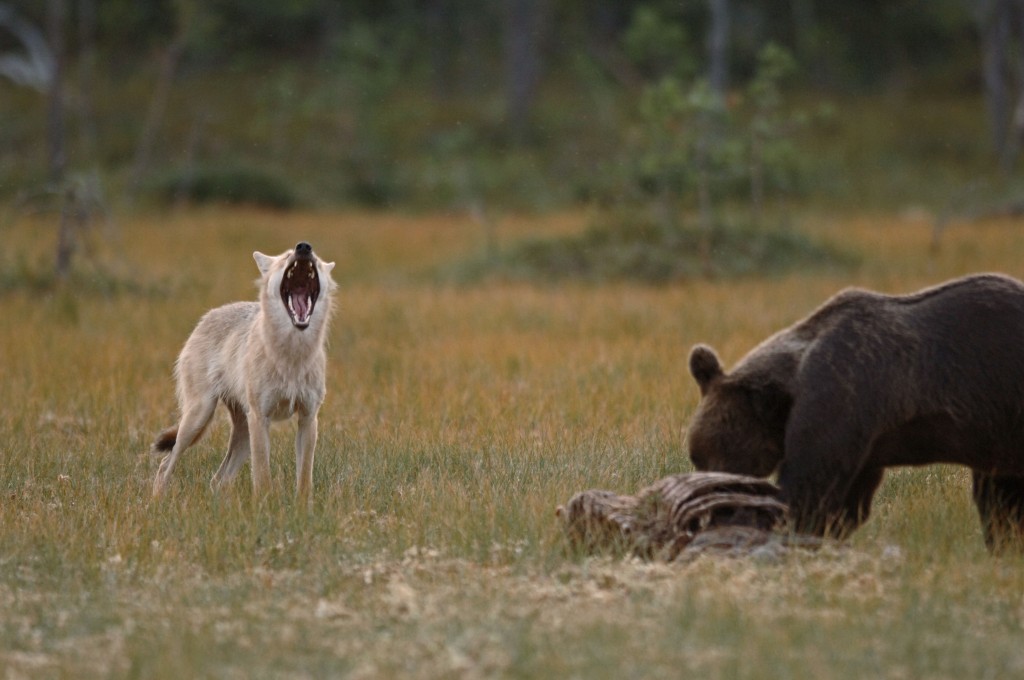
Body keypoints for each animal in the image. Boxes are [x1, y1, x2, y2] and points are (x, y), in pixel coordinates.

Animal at [151, 241, 336, 500]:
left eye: (316, 260)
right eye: (286, 256)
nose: (304, 247)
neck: (291, 357)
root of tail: (207, 317)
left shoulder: (308, 418)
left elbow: (304, 480)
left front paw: (302, 508)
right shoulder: (260, 418)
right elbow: (263, 478)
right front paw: (266, 506)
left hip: (242, 435)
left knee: (218, 479)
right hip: (200, 418)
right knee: (165, 465)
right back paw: (156, 503)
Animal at [685, 273, 1024, 552]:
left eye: (726, 455)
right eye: (696, 454)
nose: (702, 497)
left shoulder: (840, 395)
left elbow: (809, 488)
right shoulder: (864, 440)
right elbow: (849, 502)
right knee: (1001, 496)